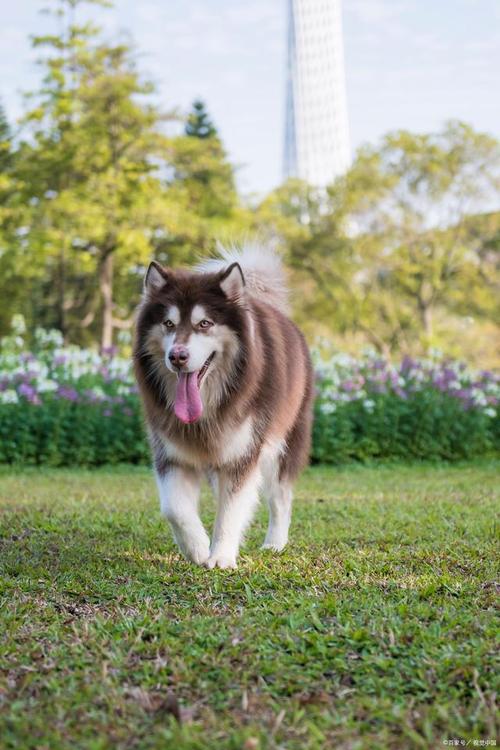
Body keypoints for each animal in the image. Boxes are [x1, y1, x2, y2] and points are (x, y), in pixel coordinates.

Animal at [133, 247, 312, 568]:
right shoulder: (172, 452)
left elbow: (232, 509)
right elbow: (174, 509)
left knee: (280, 497)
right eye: (168, 323)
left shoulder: (243, 452)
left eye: (204, 323)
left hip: (284, 442)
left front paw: (220, 556)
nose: (177, 356)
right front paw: (197, 548)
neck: (209, 409)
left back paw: (275, 543)